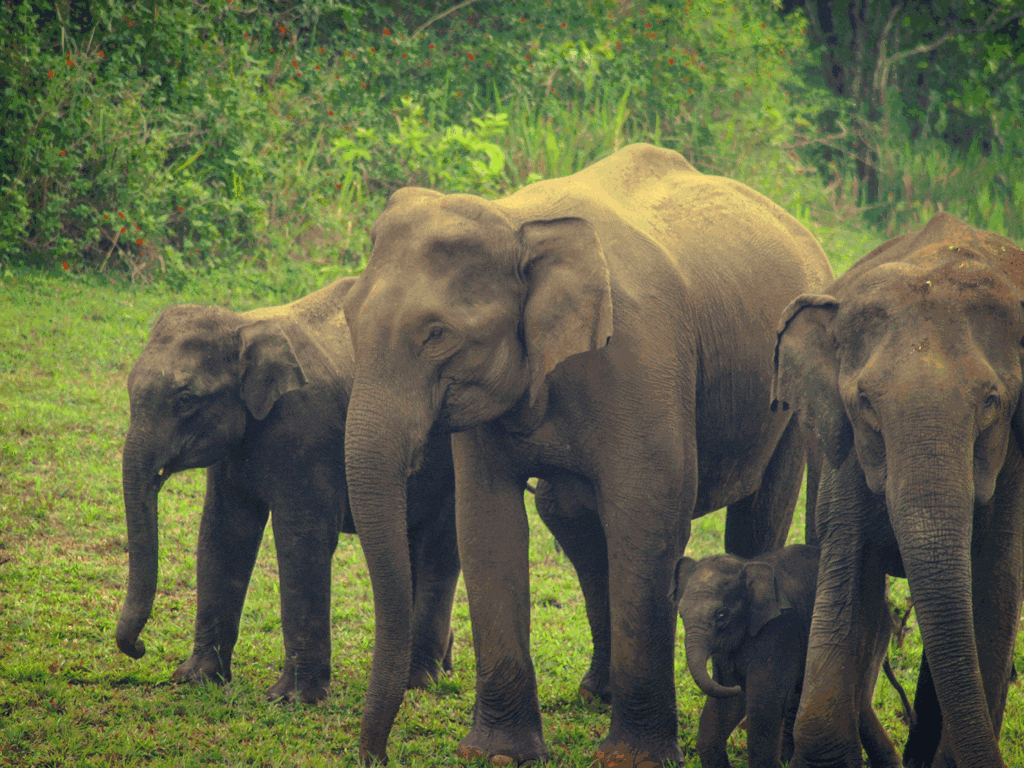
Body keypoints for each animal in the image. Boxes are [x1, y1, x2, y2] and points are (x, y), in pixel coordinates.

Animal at [115, 280, 460, 708]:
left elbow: (302, 541)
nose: (139, 649)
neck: (244, 324)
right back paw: (440, 670)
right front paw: (194, 678)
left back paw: (418, 681)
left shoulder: (307, 429)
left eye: (185, 400)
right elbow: (223, 535)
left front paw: (292, 700)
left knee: (437, 549)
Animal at [339, 143, 835, 765]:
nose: (375, 755)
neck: (518, 223)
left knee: (759, 513)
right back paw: (597, 693)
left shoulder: (641, 359)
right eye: (348, 317)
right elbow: (486, 523)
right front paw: (498, 754)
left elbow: (647, 518)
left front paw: (632, 758)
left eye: (436, 334)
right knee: (567, 514)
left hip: (784, 393)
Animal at [675, 540, 901, 768]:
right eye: (681, 614)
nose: (740, 686)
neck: (747, 565)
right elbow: (725, 702)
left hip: (874, 632)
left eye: (721, 616)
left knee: (859, 700)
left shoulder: (780, 631)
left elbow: (764, 703)